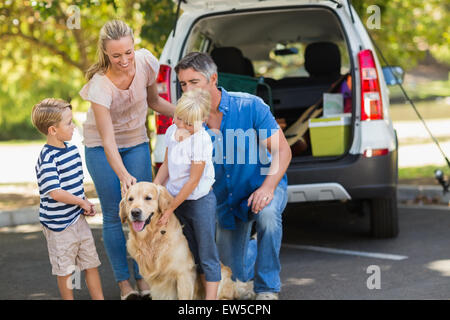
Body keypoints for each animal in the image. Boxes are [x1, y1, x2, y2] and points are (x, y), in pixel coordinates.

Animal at [119, 182, 253, 300]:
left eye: (148, 198)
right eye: (130, 199)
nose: (135, 212)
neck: (153, 237)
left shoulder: (184, 274)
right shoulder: (156, 283)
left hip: (223, 274)